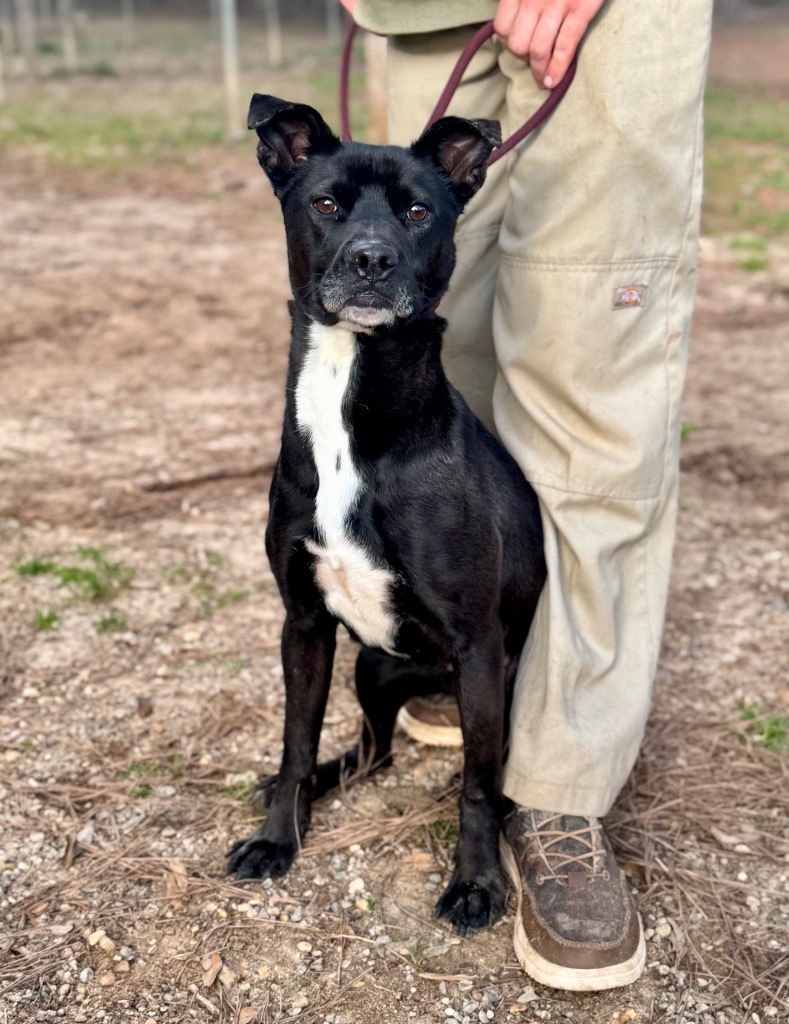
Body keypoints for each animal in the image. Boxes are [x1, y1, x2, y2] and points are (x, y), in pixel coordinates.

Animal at [228, 96, 544, 937]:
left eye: (416, 211)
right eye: (325, 203)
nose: (371, 260)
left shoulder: (477, 644)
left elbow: (476, 788)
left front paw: (474, 884)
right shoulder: (304, 622)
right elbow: (295, 743)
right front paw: (279, 836)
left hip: (498, 682)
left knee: (481, 773)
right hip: (371, 666)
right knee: (375, 751)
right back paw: (322, 778)